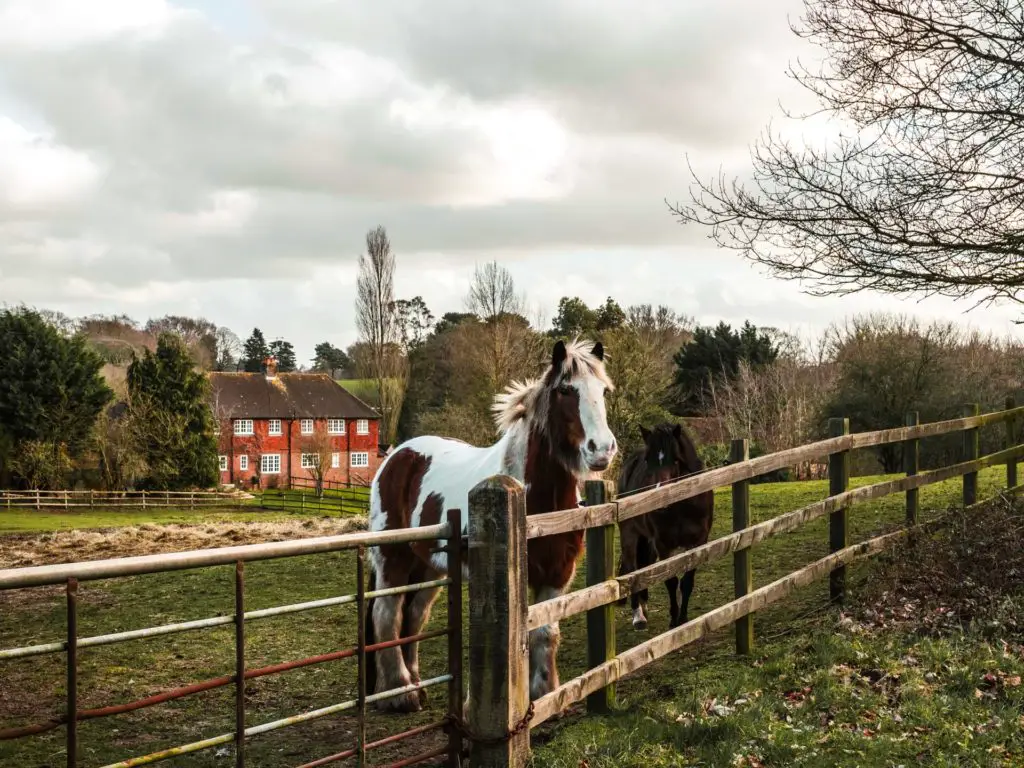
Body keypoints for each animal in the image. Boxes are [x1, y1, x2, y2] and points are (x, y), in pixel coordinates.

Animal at [364, 342, 614, 716]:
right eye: (566, 390)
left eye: (604, 391)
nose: (603, 450)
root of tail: (397, 455)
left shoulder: (557, 573)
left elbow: (545, 631)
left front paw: (545, 694)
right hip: (392, 559)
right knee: (387, 616)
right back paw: (400, 693)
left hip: (429, 567)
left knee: (414, 616)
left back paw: (416, 685)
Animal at [614, 421, 712, 630]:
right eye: (647, 461)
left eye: (675, 460)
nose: (659, 498)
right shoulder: (664, 545)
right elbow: (671, 580)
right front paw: (674, 620)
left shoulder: (698, 542)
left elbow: (687, 581)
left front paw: (683, 619)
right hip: (630, 534)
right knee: (632, 569)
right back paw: (638, 616)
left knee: (645, 565)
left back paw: (644, 607)